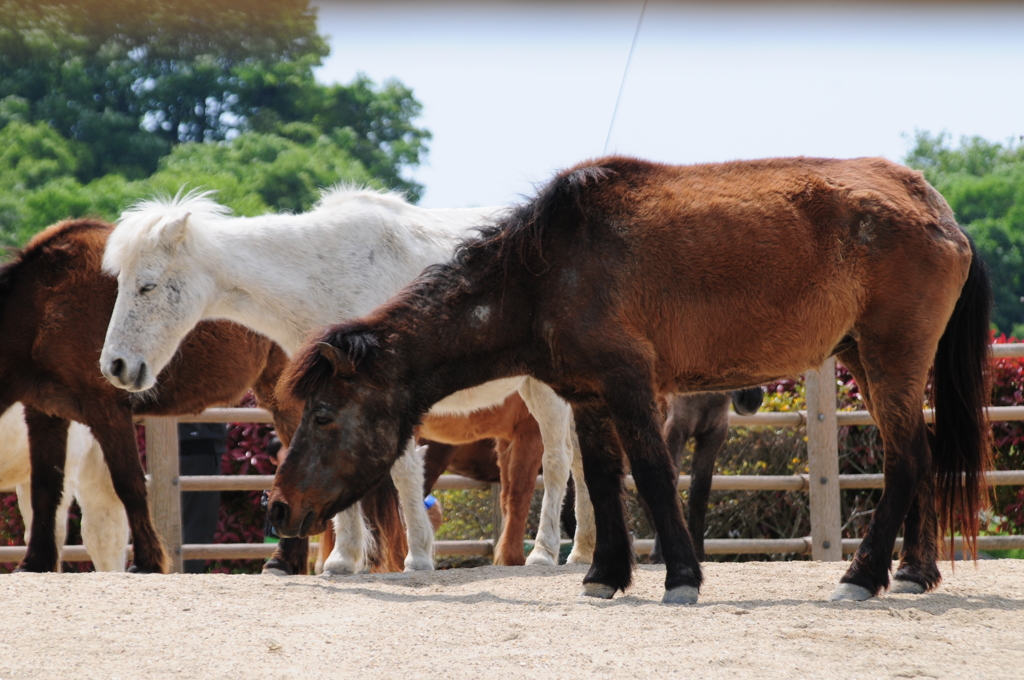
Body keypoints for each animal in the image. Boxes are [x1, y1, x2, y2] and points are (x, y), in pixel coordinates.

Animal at [99, 187, 598, 573]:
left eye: (147, 286)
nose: (115, 366)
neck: (321, 277)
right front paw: (345, 558)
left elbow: (401, 470)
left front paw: (418, 556)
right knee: (580, 462)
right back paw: (583, 553)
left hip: (544, 390)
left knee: (557, 462)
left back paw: (544, 553)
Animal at [272, 156, 991, 602]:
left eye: (323, 415)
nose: (278, 506)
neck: (545, 269)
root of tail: (938, 212)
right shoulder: (588, 397)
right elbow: (599, 479)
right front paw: (604, 572)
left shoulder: (629, 387)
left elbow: (649, 474)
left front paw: (680, 576)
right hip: (868, 360)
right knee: (921, 455)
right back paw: (914, 571)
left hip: (891, 358)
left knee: (904, 460)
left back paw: (863, 576)